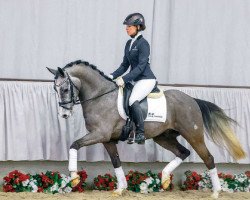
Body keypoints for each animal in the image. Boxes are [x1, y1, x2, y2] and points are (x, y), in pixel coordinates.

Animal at [47, 60, 244, 198]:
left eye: (65, 89)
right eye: (55, 90)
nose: (64, 115)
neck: (100, 96)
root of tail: (192, 100)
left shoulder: (100, 134)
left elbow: (74, 145)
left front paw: (74, 178)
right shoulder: (107, 139)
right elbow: (116, 161)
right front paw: (121, 189)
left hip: (193, 135)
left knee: (208, 158)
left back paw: (216, 192)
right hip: (164, 137)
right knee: (183, 152)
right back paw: (164, 179)